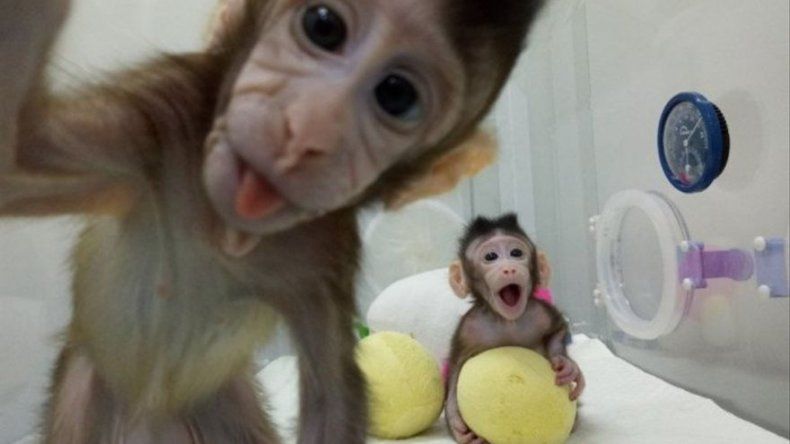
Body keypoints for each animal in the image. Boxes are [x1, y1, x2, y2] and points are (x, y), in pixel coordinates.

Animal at [0, 0, 545, 442]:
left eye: (396, 94)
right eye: (323, 26)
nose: (306, 128)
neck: (225, 226)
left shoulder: (325, 249)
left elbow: (331, 395)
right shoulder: (163, 110)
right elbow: (19, 159)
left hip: (224, 401)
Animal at [445, 214, 585, 444]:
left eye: (516, 253)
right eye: (491, 256)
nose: (509, 268)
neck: (507, 321)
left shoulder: (539, 312)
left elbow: (558, 330)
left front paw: (566, 364)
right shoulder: (468, 328)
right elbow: (457, 366)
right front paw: (454, 419)